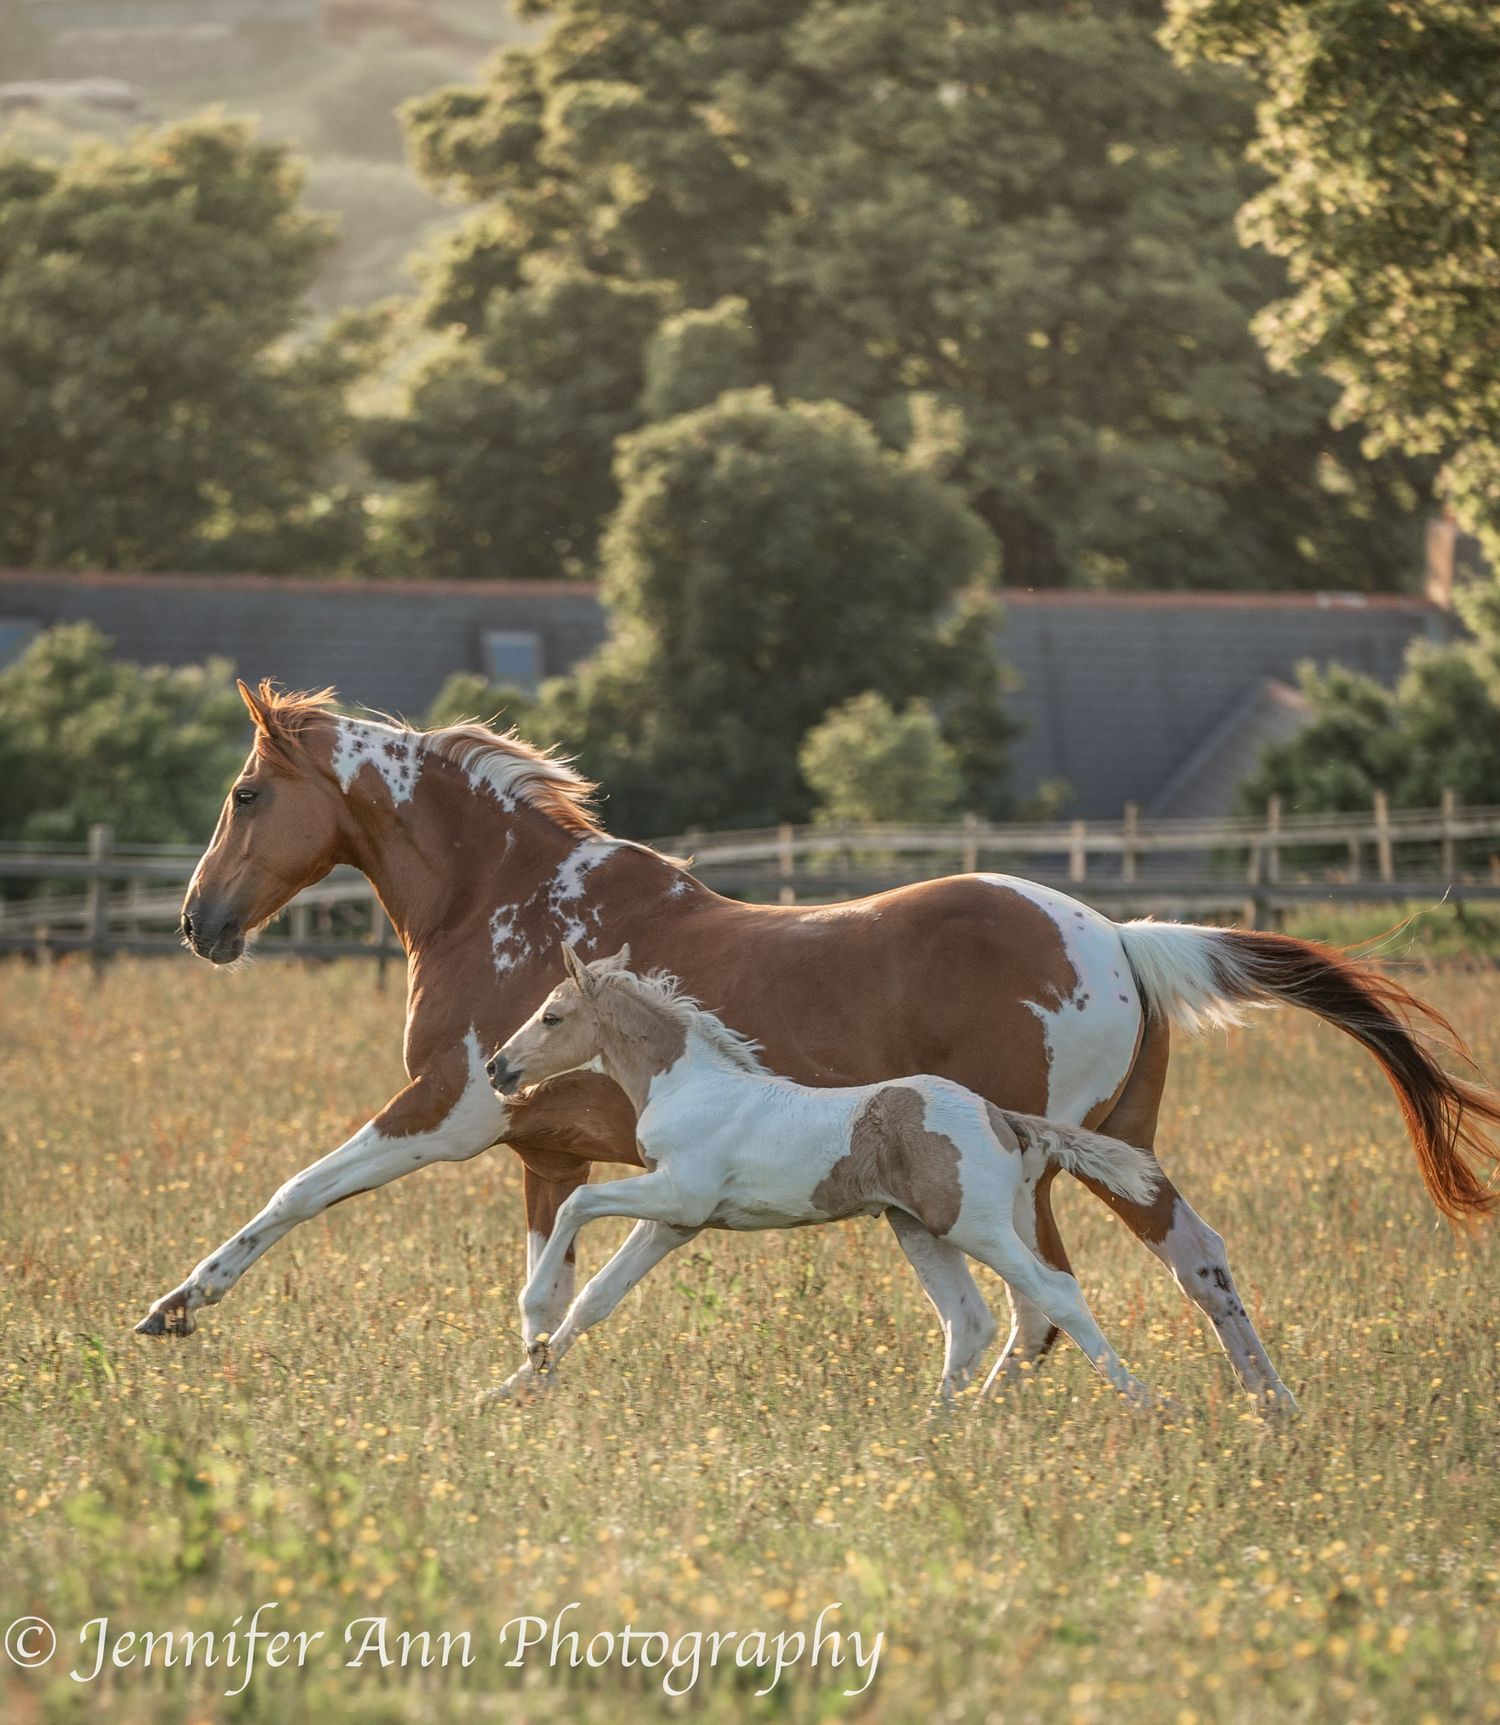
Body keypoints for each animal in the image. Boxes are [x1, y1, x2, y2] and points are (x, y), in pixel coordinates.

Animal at [489, 944, 1168, 1405]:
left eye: (552, 1017)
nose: (498, 1068)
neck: (688, 1084)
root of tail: (997, 1114)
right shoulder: (675, 1222)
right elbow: (598, 1297)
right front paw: (515, 1383)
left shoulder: (678, 1195)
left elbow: (577, 1202)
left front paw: (530, 1322)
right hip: (918, 1229)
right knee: (969, 1322)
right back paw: (933, 1435)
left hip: (977, 1226)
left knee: (1055, 1294)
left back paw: (1147, 1402)